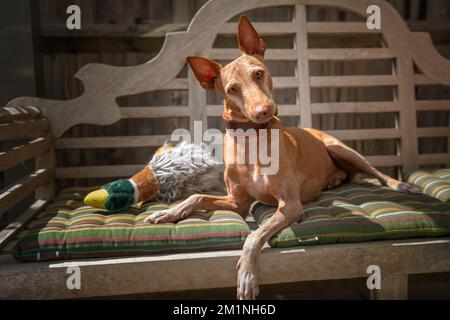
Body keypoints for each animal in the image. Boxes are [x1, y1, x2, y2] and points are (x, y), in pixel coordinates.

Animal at [144, 15, 422, 300]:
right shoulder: (238, 203)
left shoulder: (290, 205)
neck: (252, 141)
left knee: (376, 173)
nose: (263, 111)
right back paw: (334, 181)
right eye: (232, 89)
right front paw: (167, 213)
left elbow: (254, 235)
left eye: (258, 73)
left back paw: (402, 185)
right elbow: (196, 196)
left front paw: (247, 275)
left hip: (341, 150)